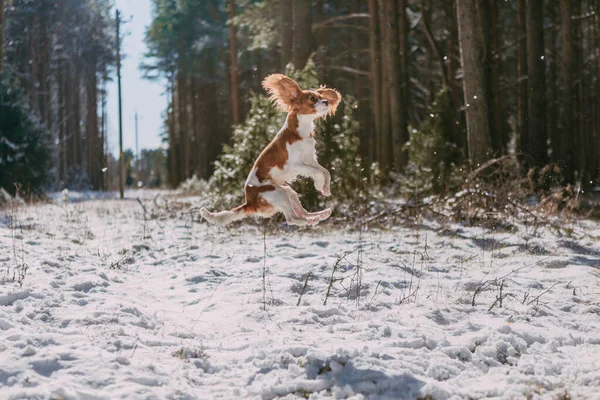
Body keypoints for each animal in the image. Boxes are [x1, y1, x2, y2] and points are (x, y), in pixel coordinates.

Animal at [200, 74, 342, 227]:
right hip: (278, 193)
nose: (326, 101)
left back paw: (320, 214)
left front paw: (326, 189)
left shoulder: (310, 159)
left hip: (288, 191)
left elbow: (325, 171)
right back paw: (313, 219)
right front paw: (319, 184)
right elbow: (317, 172)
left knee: (300, 212)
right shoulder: (295, 164)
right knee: (292, 219)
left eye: (321, 96)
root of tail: (249, 202)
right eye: (313, 99)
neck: (300, 132)